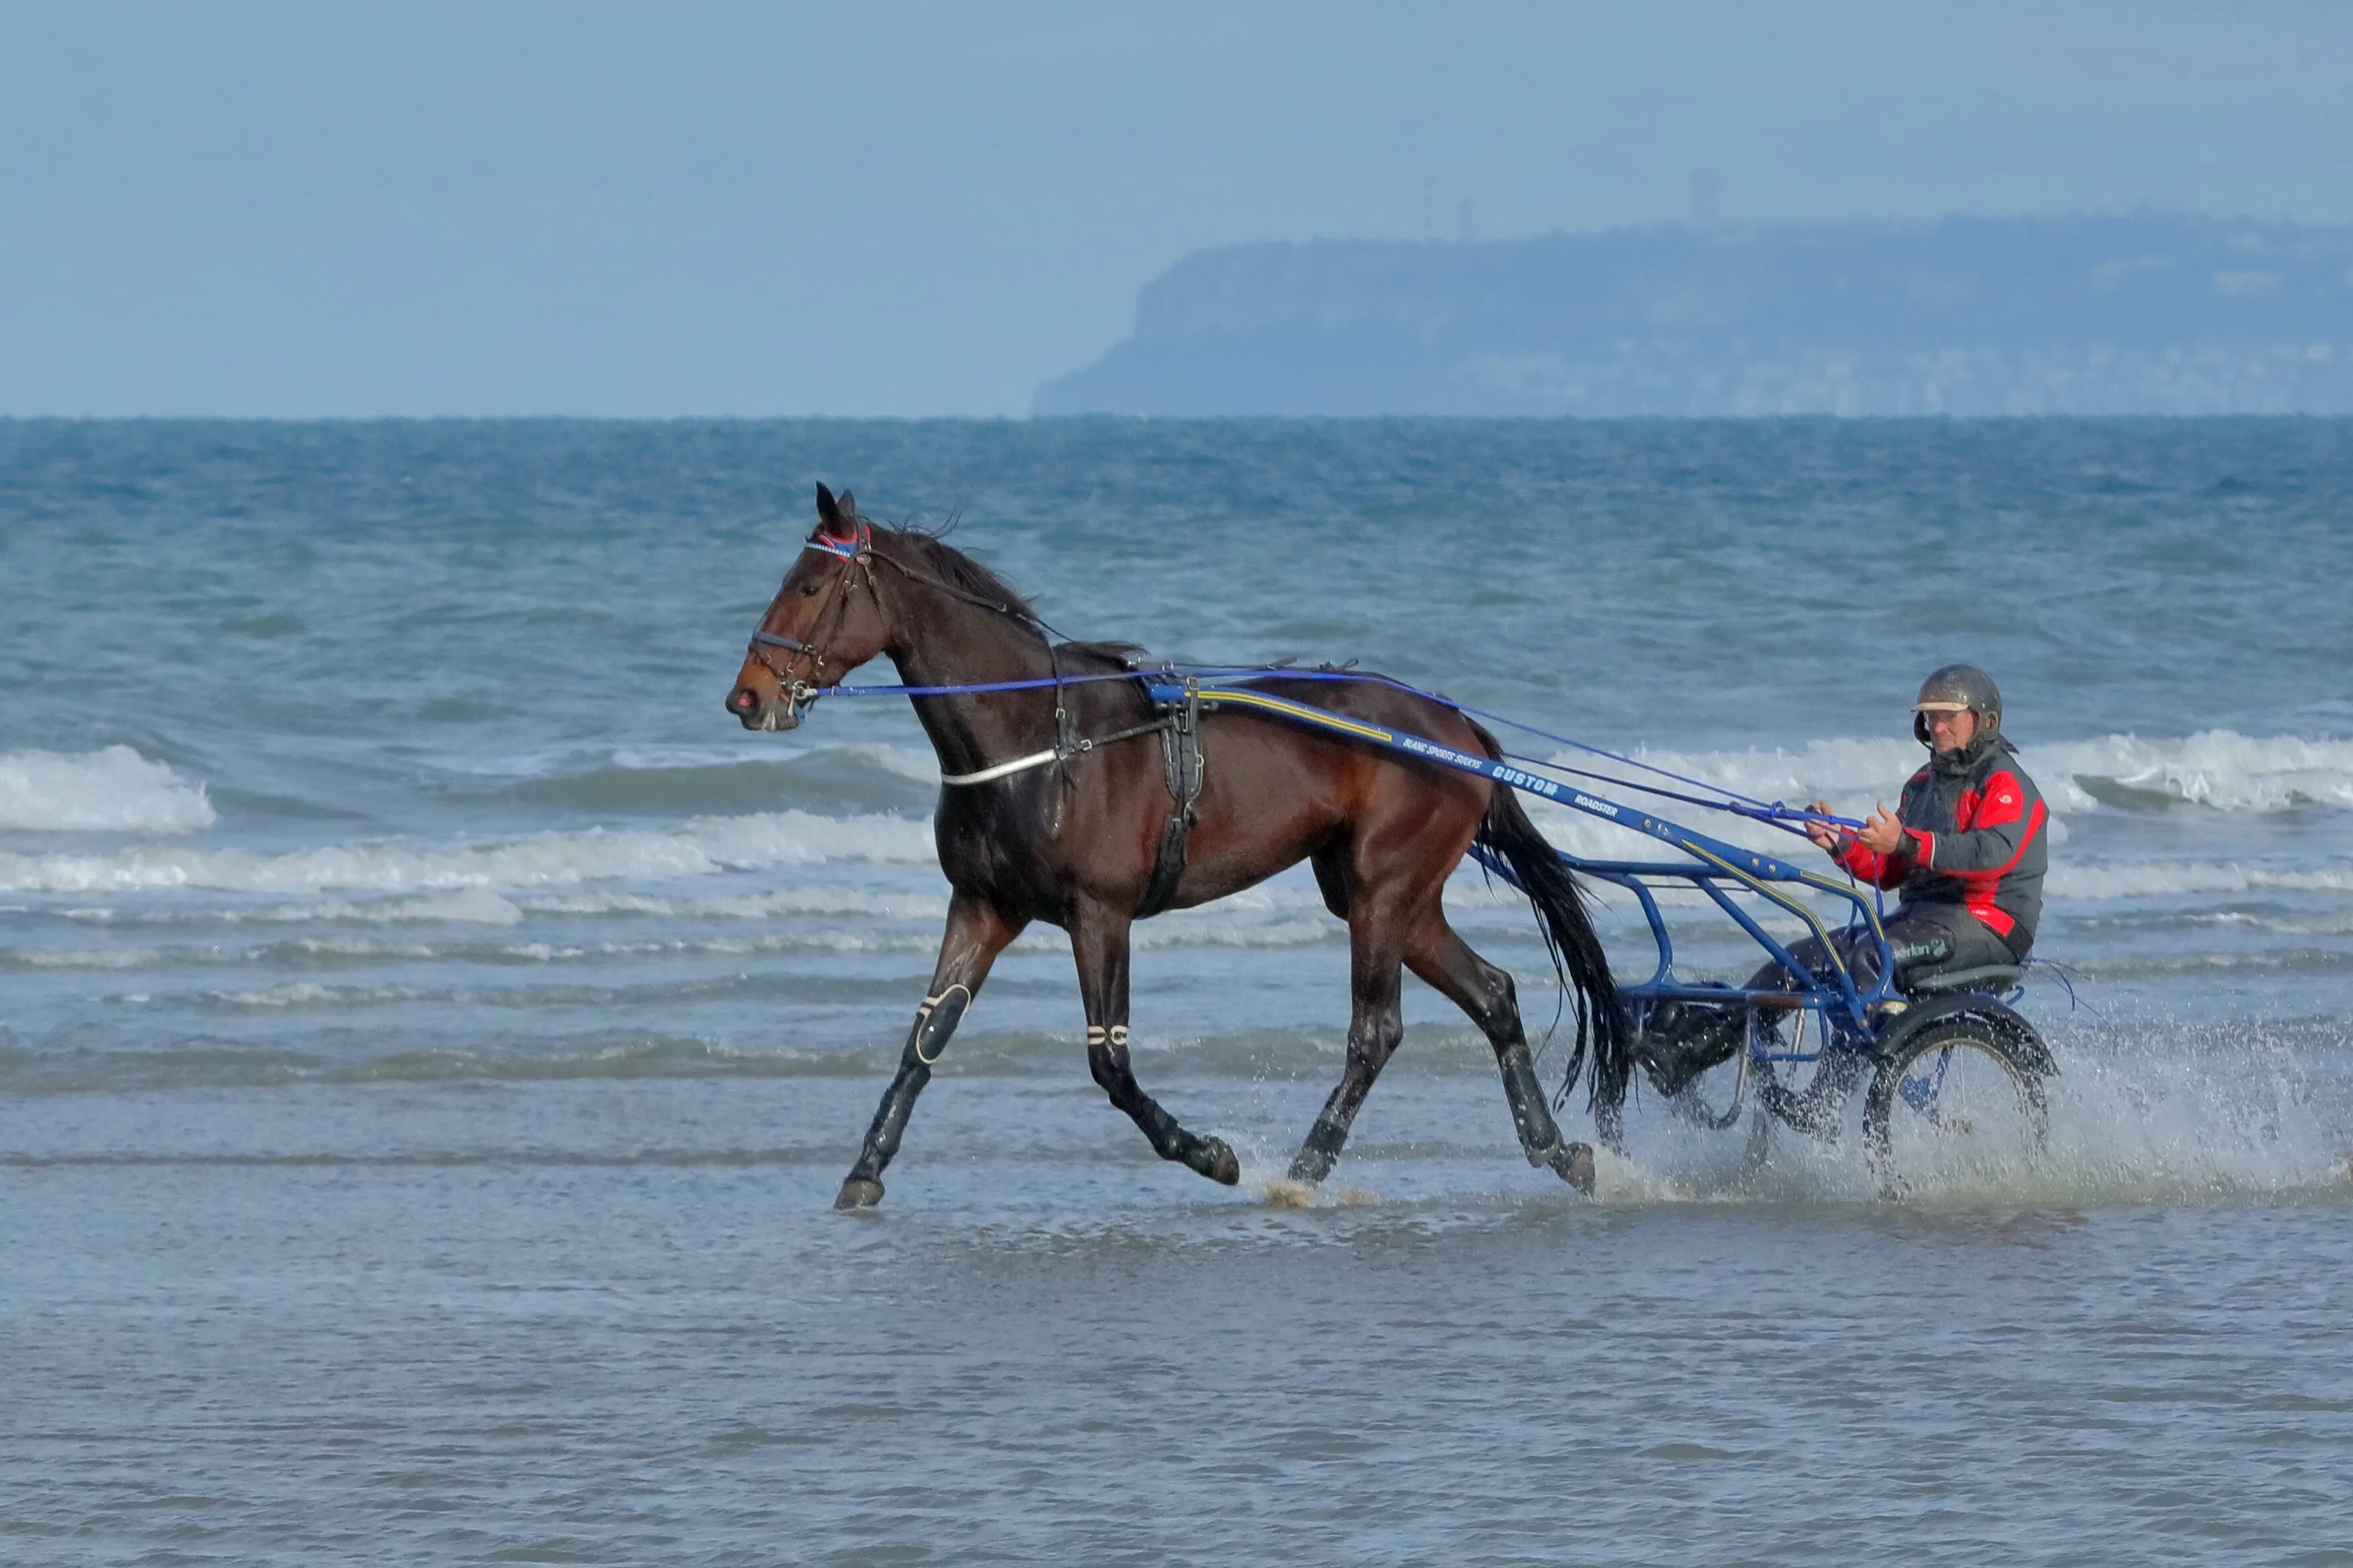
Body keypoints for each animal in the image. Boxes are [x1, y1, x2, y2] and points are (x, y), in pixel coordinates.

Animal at [727, 484, 1628, 1209]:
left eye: (809, 586)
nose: (748, 697)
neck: (1036, 738)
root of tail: (1456, 727)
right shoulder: (983, 906)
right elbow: (925, 1040)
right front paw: (865, 1168)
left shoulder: (1100, 915)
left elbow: (1111, 1065)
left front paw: (1209, 1153)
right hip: (1383, 895)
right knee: (1493, 994)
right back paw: (1558, 1152)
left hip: (1383, 891)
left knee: (1375, 1032)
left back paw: (1305, 1168)